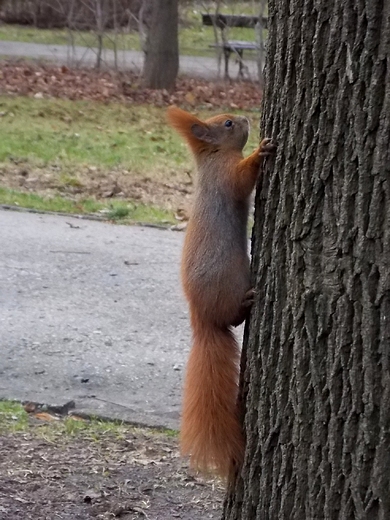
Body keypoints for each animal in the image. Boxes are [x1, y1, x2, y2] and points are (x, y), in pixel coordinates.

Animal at [168, 106, 274, 480]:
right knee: (234, 317)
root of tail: (202, 320)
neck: (212, 158)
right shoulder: (226, 178)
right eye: (227, 124)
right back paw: (248, 301)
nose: (245, 119)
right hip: (230, 285)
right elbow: (241, 180)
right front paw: (262, 150)